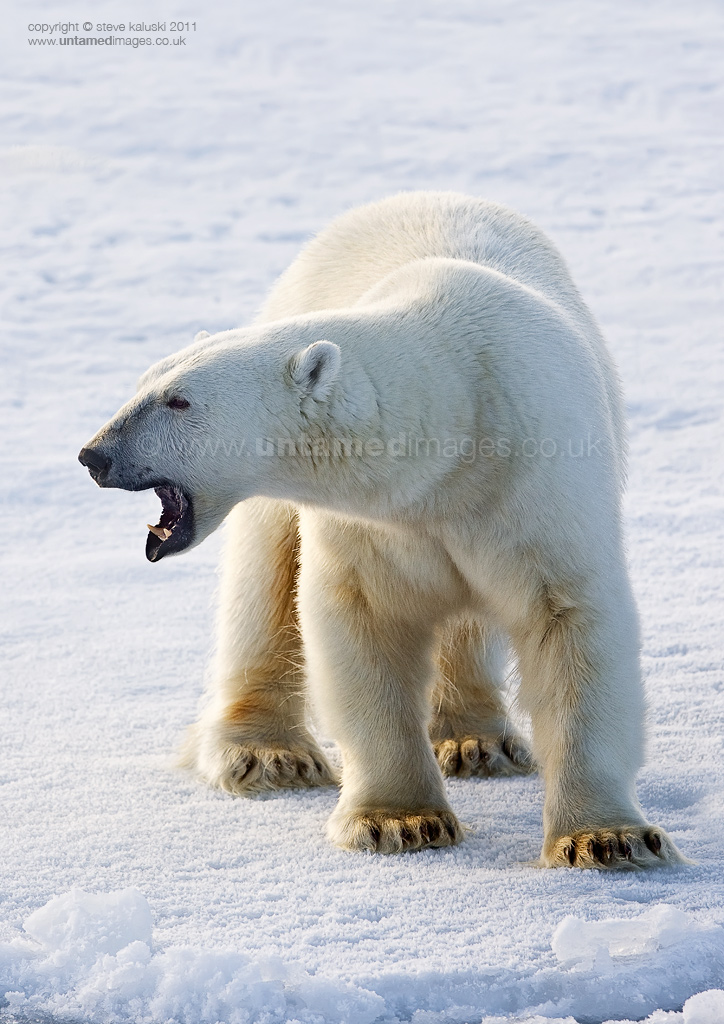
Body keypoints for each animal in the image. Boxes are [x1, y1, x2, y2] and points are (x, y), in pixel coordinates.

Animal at [79, 191, 687, 869]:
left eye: (179, 401)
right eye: (143, 384)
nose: (95, 454)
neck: (457, 410)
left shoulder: (534, 484)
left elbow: (569, 621)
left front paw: (607, 838)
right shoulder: (375, 521)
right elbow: (362, 622)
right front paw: (399, 821)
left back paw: (477, 741)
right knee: (264, 579)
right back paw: (268, 754)